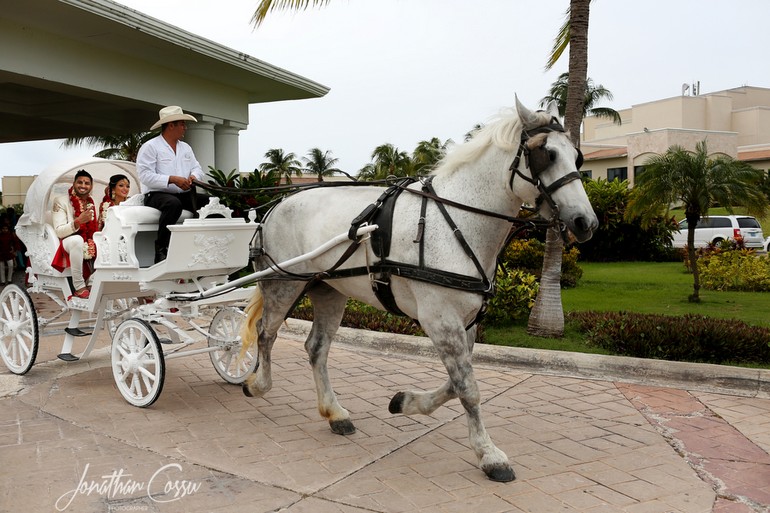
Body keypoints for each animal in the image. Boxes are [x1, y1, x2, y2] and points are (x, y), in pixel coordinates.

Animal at [240, 97, 592, 480]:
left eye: (577, 158)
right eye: (546, 154)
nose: (585, 222)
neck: (459, 221)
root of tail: (277, 205)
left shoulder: (466, 322)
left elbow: (457, 383)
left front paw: (405, 402)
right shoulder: (440, 320)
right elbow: (468, 388)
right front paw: (489, 454)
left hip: (329, 290)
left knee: (316, 348)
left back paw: (334, 413)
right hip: (284, 284)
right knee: (266, 333)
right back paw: (257, 383)